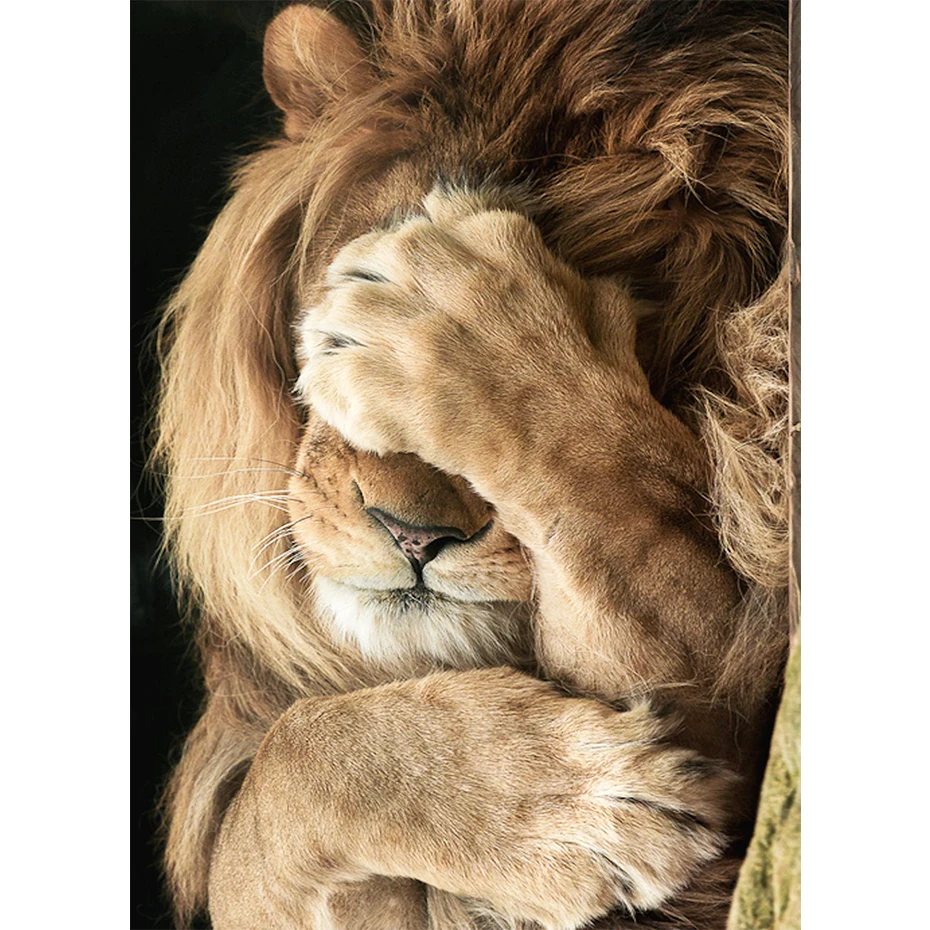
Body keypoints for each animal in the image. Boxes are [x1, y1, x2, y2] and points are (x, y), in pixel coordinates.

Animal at [156, 2, 791, 929]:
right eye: (336, 304)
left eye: (637, 343)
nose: (412, 536)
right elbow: (276, 781)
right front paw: (566, 813)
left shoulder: (740, 716)